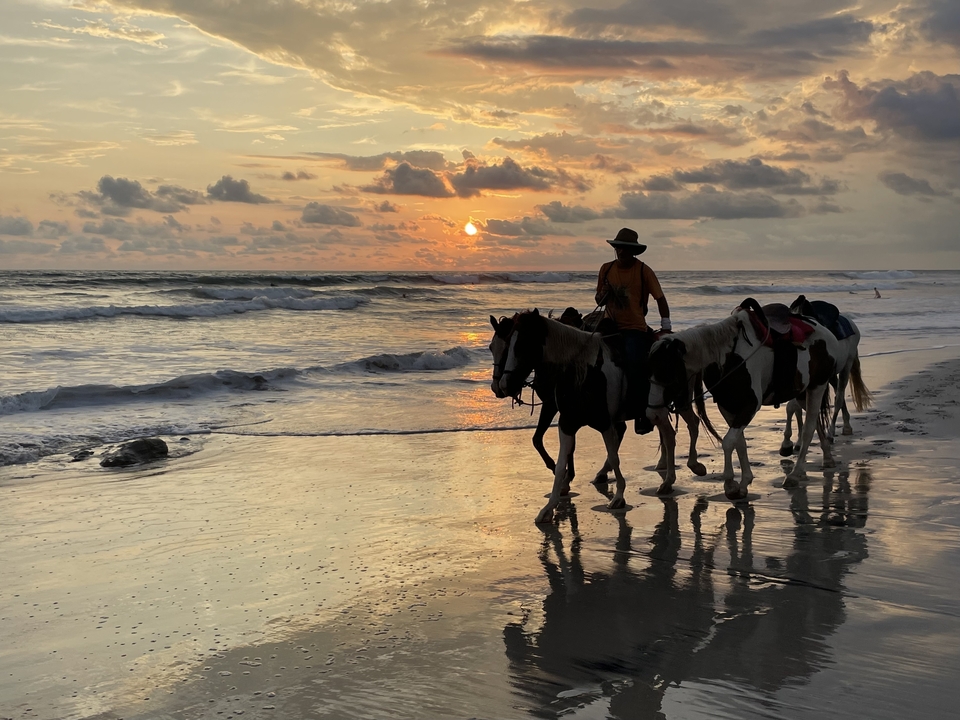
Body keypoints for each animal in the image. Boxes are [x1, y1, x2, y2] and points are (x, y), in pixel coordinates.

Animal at [493, 309, 677, 523]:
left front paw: (618, 496)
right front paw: (549, 506)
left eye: (523, 344)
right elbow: (560, 463)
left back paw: (667, 481)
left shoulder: (604, 422)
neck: (585, 372)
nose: (503, 385)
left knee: (669, 437)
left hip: (658, 409)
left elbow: (614, 456)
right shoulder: (567, 422)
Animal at [647, 298, 841, 500]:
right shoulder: (728, 407)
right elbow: (739, 443)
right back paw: (825, 459)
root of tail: (822, 329)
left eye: (667, 370)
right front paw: (743, 483)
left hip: (817, 386)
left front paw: (730, 484)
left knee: (809, 429)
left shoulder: (749, 406)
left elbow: (728, 442)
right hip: (803, 392)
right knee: (817, 422)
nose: (653, 414)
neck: (729, 357)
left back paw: (794, 475)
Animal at [780, 296, 872, 454]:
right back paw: (846, 425)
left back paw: (831, 432)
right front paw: (795, 442)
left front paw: (788, 443)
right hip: (831, 375)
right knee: (839, 396)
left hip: (846, 366)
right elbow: (794, 408)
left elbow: (793, 407)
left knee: (839, 398)